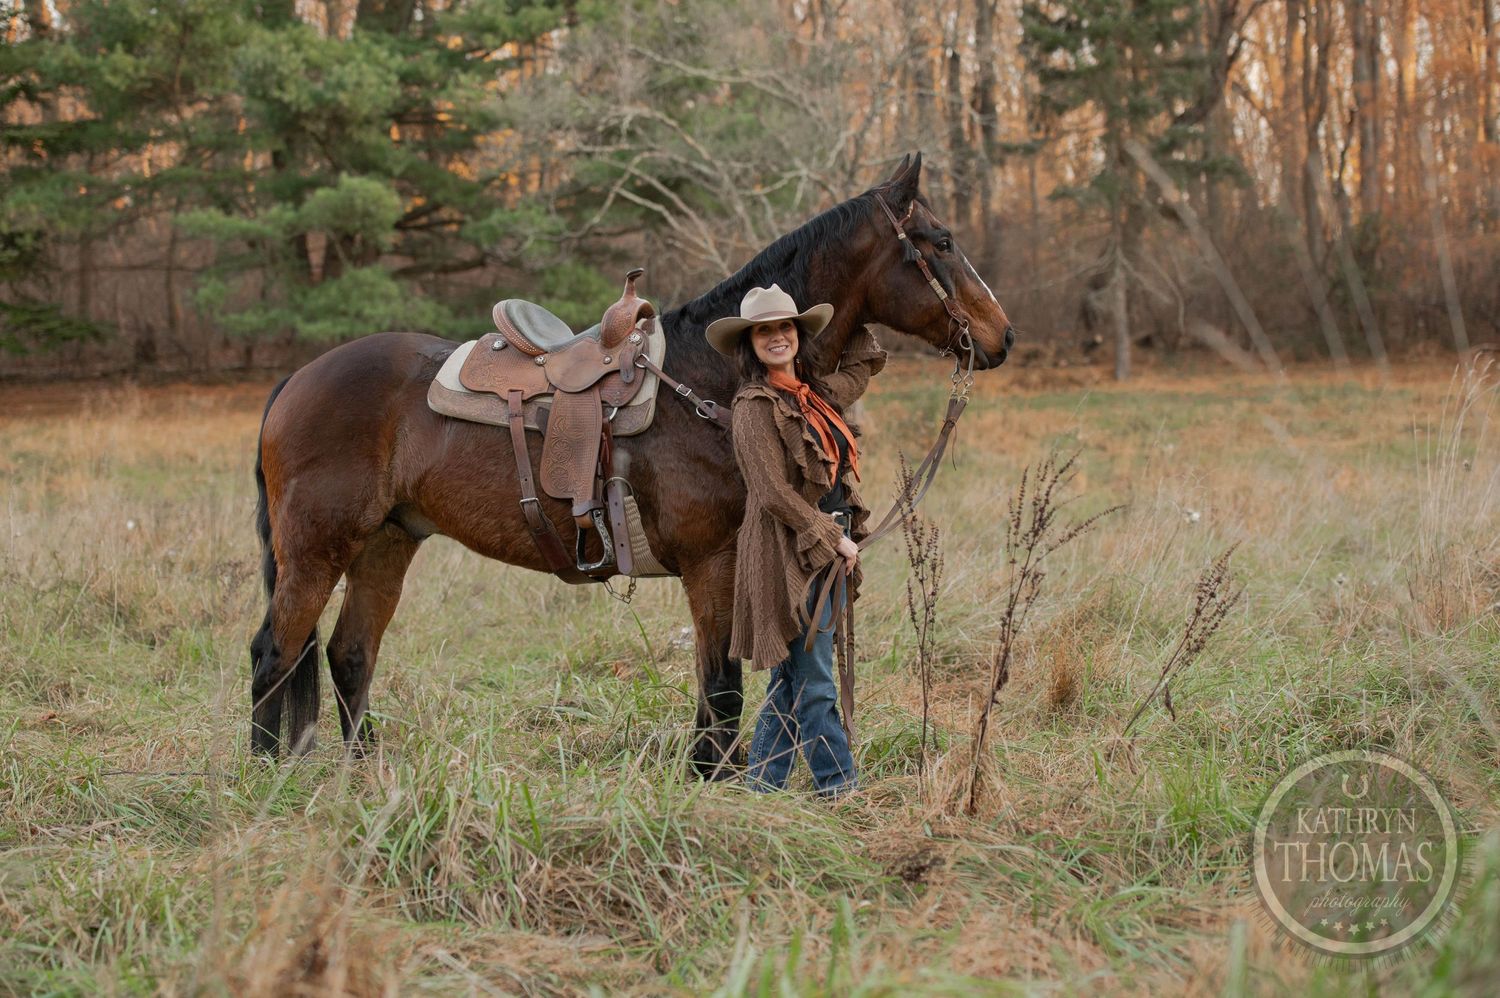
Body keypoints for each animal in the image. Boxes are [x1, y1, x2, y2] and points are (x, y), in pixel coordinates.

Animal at [249, 153, 1015, 775]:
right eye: (942, 242)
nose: (1002, 336)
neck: (714, 380)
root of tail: (295, 381)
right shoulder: (712, 564)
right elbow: (723, 684)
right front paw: (715, 779)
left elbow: (719, 687)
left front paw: (709, 774)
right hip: (316, 549)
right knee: (274, 654)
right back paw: (263, 778)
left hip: (386, 544)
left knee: (349, 656)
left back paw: (362, 775)